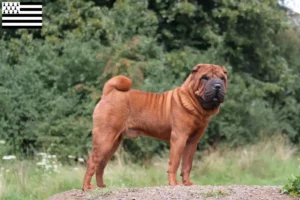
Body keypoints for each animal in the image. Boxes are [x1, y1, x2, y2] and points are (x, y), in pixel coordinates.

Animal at [82, 64, 227, 191]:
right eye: (204, 78)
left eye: (222, 78)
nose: (218, 85)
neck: (195, 103)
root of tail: (109, 93)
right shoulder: (179, 138)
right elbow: (174, 163)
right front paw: (174, 183)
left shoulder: (192, 142)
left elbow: (187, 165)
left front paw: (187, 183)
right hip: (105, 138)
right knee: (92, 162)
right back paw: (87, 187)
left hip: (113, 143)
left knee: (101, 164)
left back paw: (101, 186)